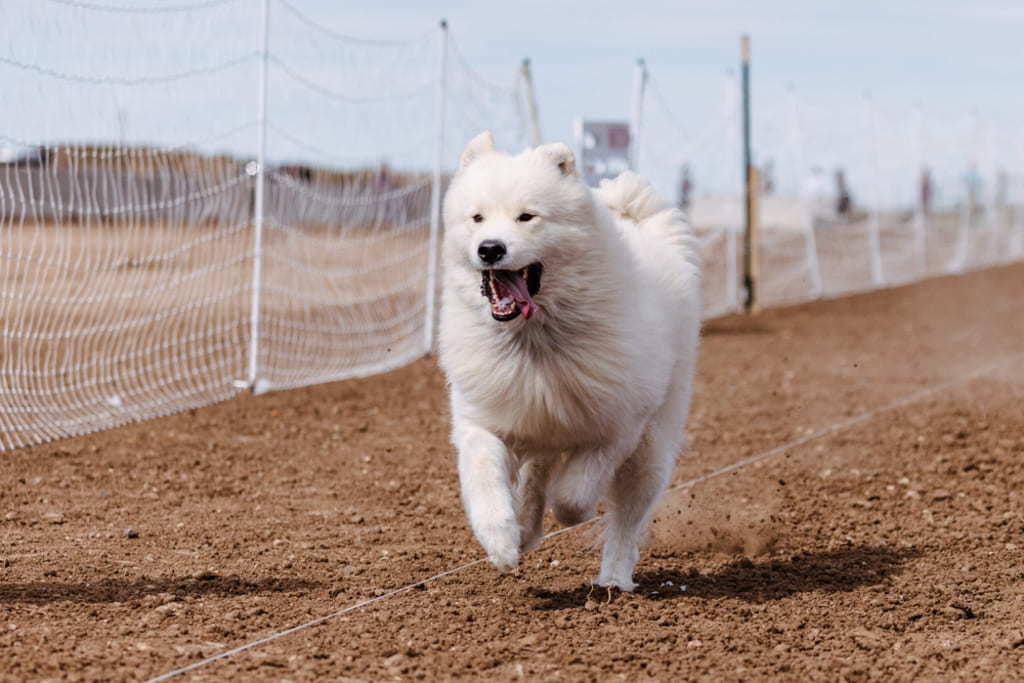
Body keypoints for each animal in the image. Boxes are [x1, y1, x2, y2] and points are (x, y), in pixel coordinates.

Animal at [436, 133, 700, 593]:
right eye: (477, 218)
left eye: (527, 217)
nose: (490, 249)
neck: (536, 340)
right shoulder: (484, 422)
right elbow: (487, 485)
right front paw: (502, 544)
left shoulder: (618, 428)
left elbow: (573, 497)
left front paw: (567, 515)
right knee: (537, 469)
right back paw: (526, 530)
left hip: (651, 449)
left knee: (626, 520)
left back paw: (614, 578)